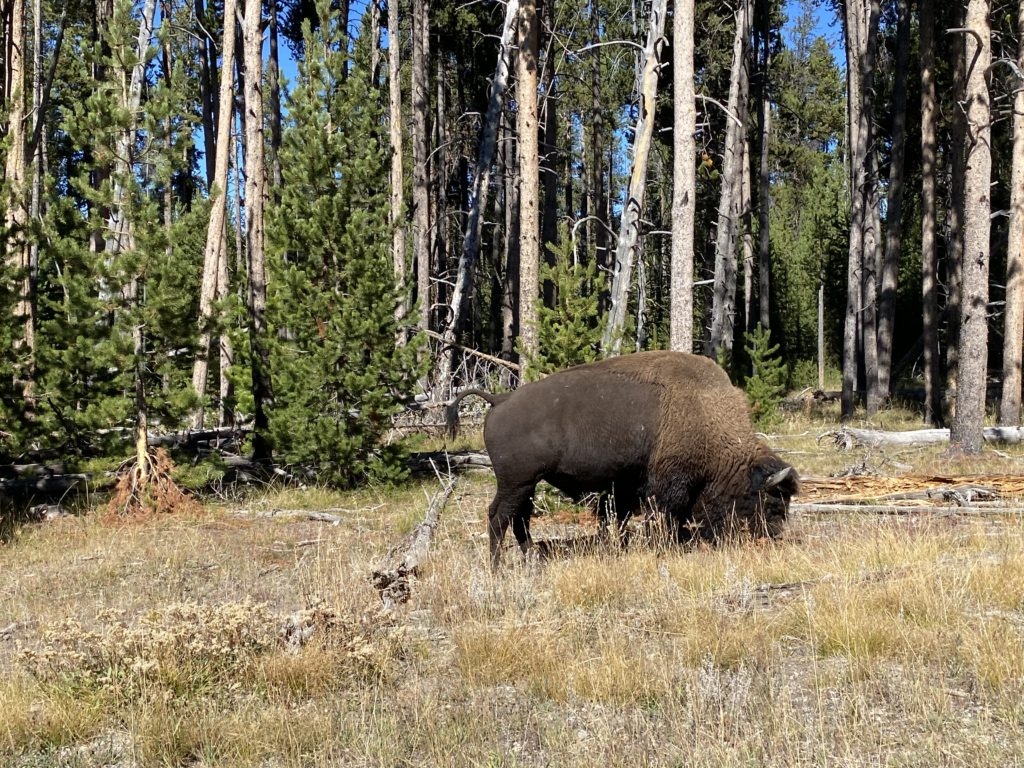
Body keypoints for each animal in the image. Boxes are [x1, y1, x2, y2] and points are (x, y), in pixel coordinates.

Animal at [448, 352, 798, 569]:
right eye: (773, 502)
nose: (776, 536)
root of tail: (500, 399)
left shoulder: (629, 486)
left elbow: (621, 518)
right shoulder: (667, 486)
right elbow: (663, 518)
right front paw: (665, 548)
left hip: (527, 485)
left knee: (519, 519)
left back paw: (532, 559)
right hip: (515, 483)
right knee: (499, 517)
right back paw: (497, 568)